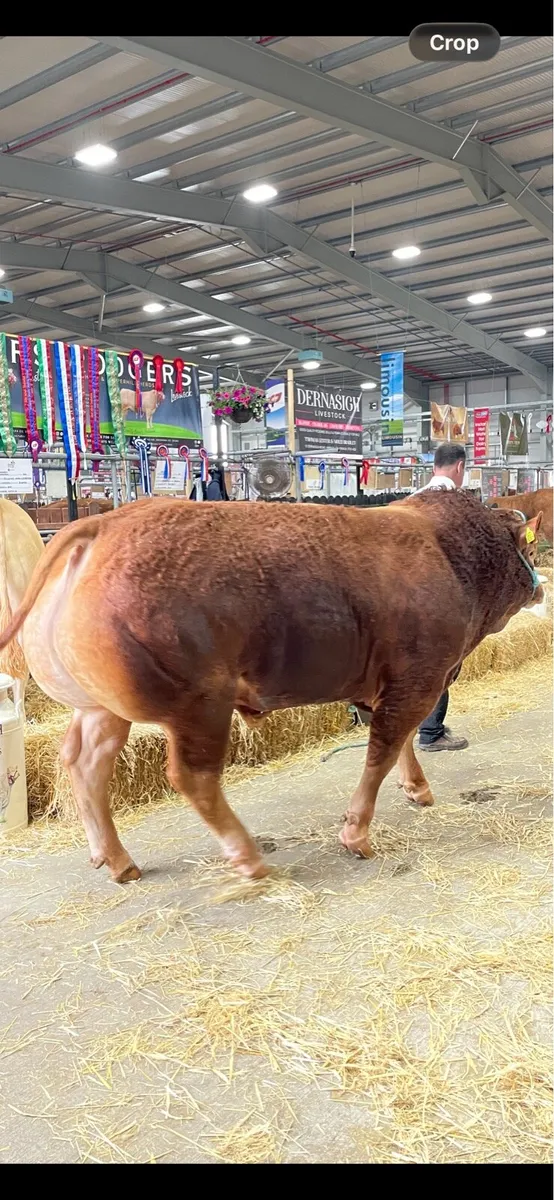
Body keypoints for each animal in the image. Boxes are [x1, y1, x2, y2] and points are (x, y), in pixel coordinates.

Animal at [0, 489, 543, 885]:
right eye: (532, 548)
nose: (540, 586)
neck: (451, 558)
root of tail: (105, 524)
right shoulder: (419, 677)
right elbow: (383, 750)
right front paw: (356, 833)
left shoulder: (390, 683)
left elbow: (400, 741)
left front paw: (417, 789)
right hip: (200, 703)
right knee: (191, 776)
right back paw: (248, 857)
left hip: (100, 708)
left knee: (83, 764)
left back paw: (115, 859)